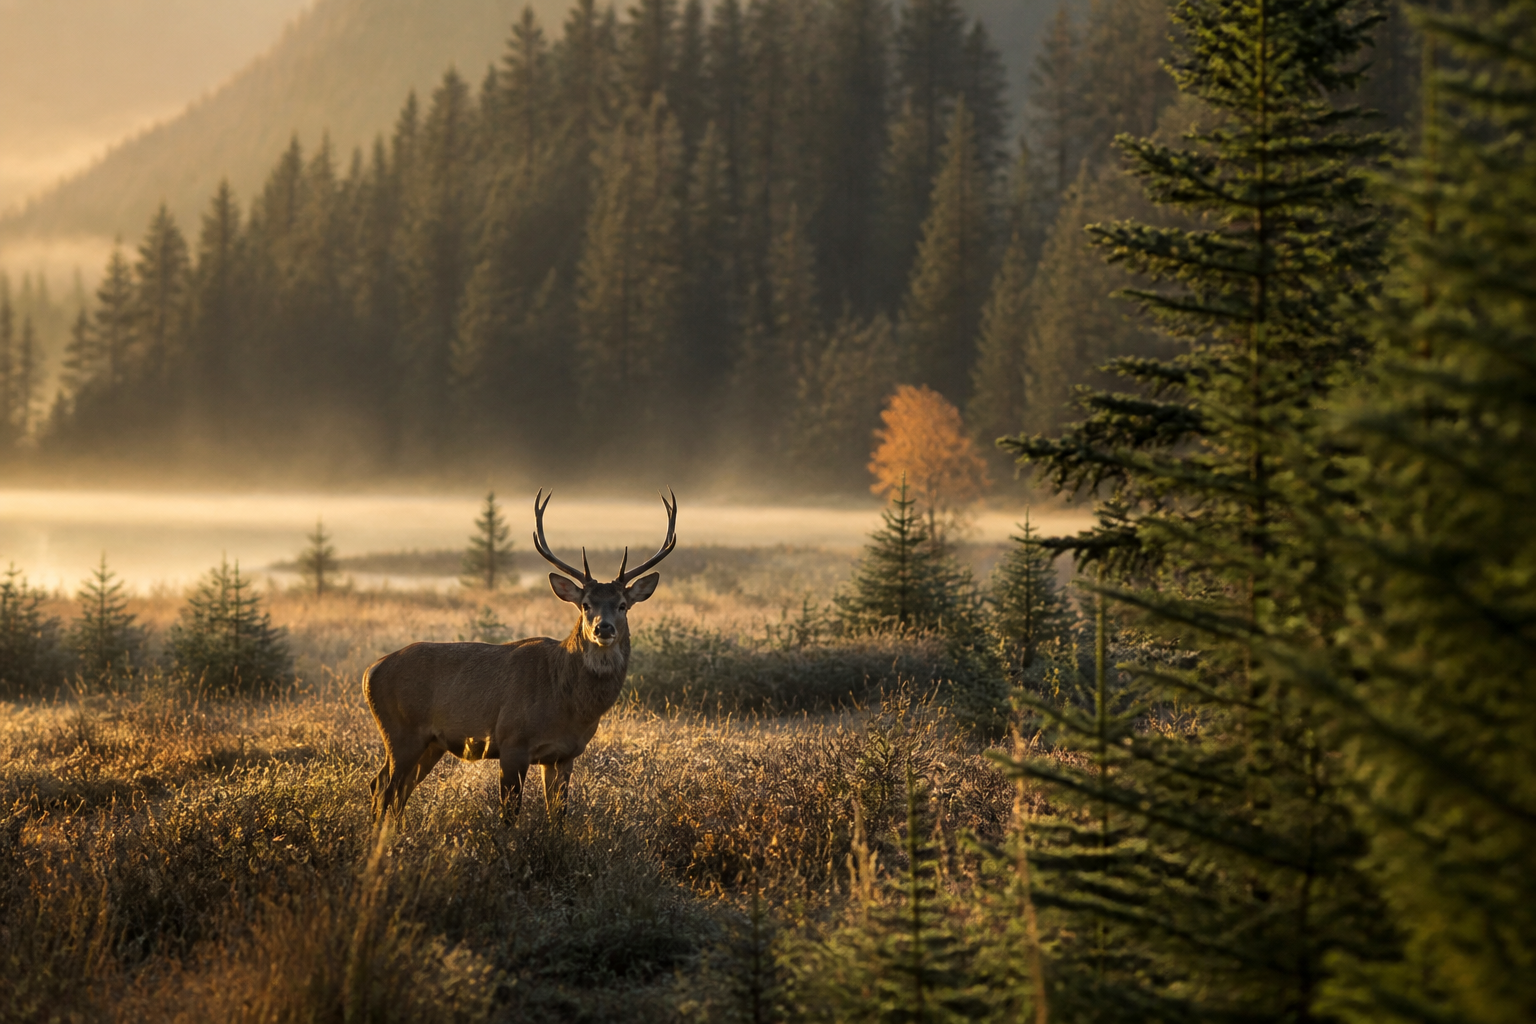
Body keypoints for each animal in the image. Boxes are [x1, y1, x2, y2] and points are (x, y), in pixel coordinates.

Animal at [364, 489, 677, 827]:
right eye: (585, 604)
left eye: (622, 605)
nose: (603, 628)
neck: (567, 702)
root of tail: (370, 671)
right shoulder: (512, 741)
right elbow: (510, 815)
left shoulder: (564, 755)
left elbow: (558, 816)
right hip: (401, 731)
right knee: (384, 785)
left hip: (431, 743)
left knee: (395, 788)